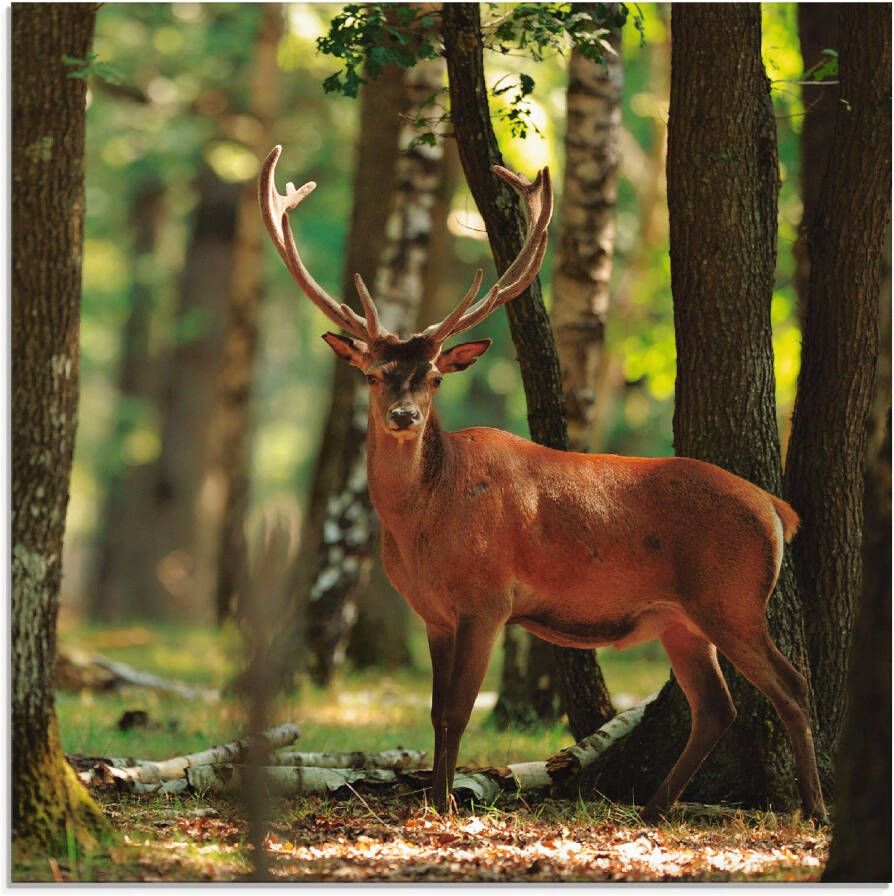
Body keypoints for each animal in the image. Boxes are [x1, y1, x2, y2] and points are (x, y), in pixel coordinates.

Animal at [258, 144, 824, 824]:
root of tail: (776, 508)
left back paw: (814, 808)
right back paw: (654, 806)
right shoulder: (434, 613)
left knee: (791, 685)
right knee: (717, 705)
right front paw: (433, 796)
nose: (404, 416)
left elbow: (456, 710)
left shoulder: (487, 598)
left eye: (435, 378)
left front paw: (444, 803)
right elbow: (435, 712)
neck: (425, 522)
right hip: (680, 618)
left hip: (732, 597)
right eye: (373, 373)